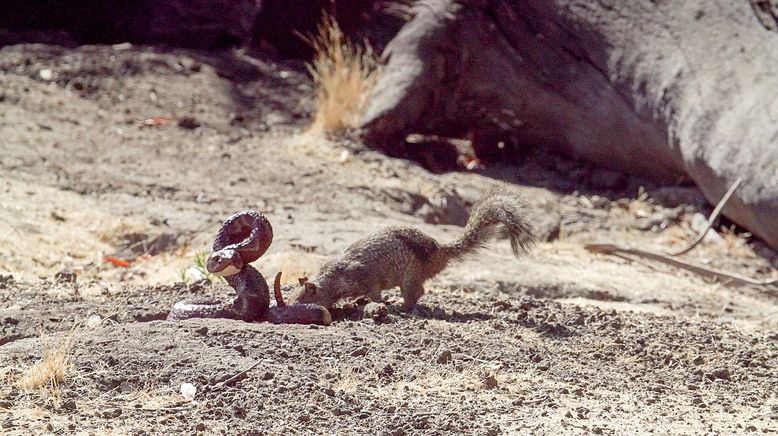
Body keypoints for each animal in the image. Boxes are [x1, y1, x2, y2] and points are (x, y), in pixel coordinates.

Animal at [288, 187, 536, 310]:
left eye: (303, 297)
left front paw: (375, 304)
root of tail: (441, 250)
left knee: (417, 293)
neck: (333, 278)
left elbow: (375, 293)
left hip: (410, 277)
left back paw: (400, 304)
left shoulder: (367, 278)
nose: (288, 308)